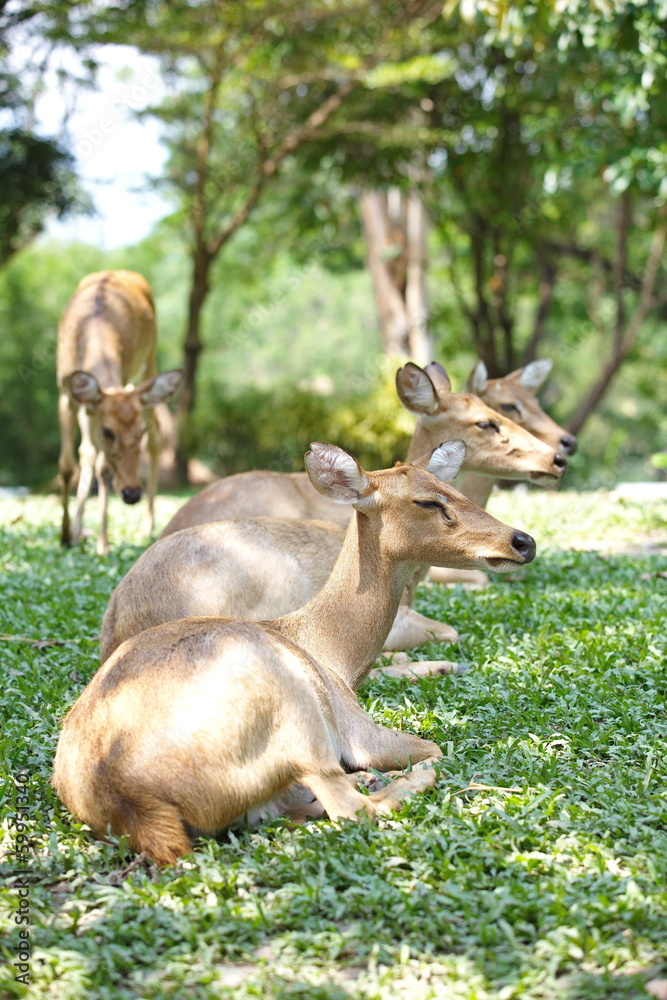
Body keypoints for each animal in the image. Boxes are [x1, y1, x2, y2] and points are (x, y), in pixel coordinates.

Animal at [51, 442, 536, 864]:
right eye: (428, 502)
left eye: (457, 490)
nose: (523, 541)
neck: (332, 650)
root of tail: (136, 802)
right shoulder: (359, 729)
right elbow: (432, 746)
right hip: (298, 716)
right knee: (349, 806)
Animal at [56, 270, 183, 560]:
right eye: (108, 431)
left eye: (140, 432)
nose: (132, 492)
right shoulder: (66, 394)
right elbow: (69, 464)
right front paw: (67, 534)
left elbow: (103, 468)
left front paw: (102, 544)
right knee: (86, 452)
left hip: (149, 362)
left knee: (158, 440)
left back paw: (147, 527)